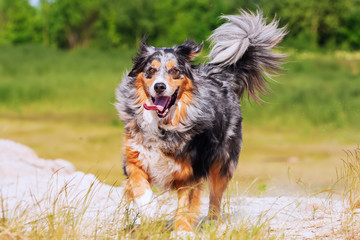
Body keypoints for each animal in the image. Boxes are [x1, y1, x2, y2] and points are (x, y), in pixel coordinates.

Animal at [116, 10, 286, 231]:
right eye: (151, 71)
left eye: (174, 71)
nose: (159, 87)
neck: (164, 125)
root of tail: (223, 76)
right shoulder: (135, 159)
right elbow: (139, 188)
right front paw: (146, 212)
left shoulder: (191, 170)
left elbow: (185, 204)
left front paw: (182, 231)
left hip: (223, 162)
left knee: (216, 196)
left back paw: (213, 222)